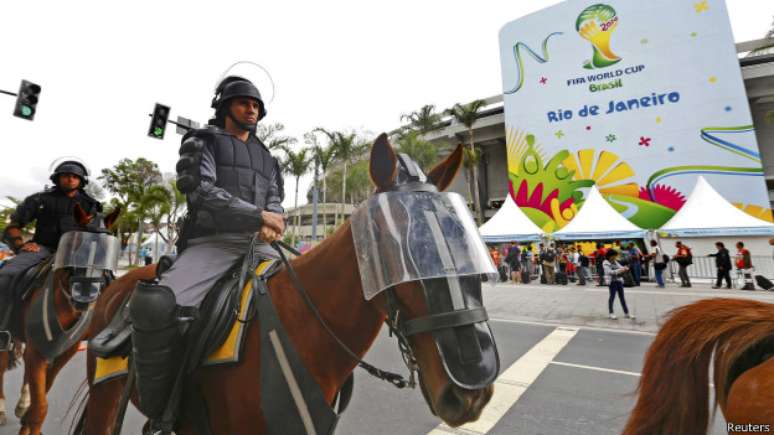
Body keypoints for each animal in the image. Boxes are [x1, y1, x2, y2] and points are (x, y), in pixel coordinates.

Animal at [1, 205, 123, 435]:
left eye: (106, 251)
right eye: (76, 247)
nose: (85, 294)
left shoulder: (65, 351)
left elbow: (41, 396)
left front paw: (27, 415)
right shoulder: (37, 351)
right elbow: (40, 407)